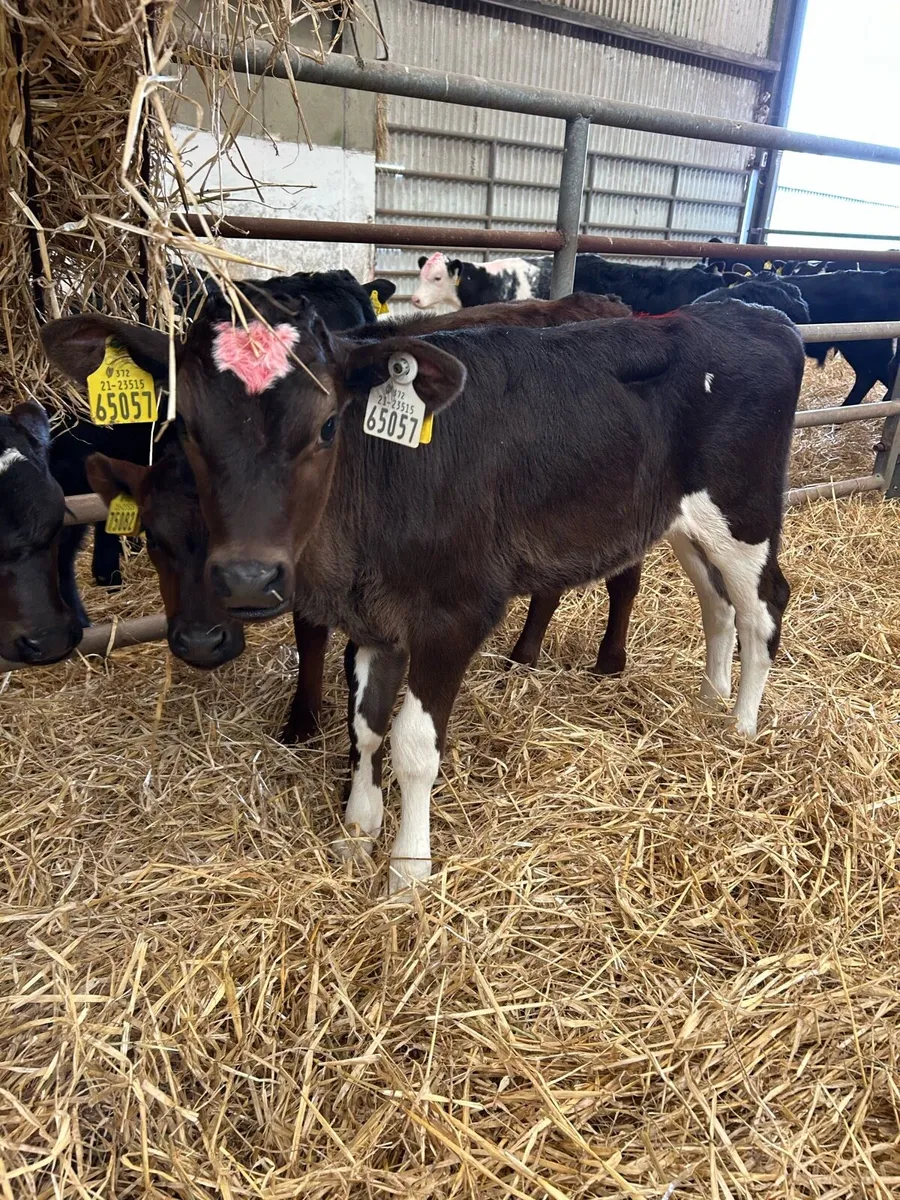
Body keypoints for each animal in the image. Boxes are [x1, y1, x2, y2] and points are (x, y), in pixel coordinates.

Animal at [43, 293, 804, 894]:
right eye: (190, 432)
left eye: (327, 426)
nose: (248, 579)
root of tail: (753, 314)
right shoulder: (371, 620)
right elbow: (364, 726)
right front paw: (356, 830)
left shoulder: (452, 614)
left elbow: (412, 743)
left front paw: (407, 871)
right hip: (682, 519)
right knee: (717, 601)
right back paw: (708, 697)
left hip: (745, 510)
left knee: (765, 604)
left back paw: (740, 728)